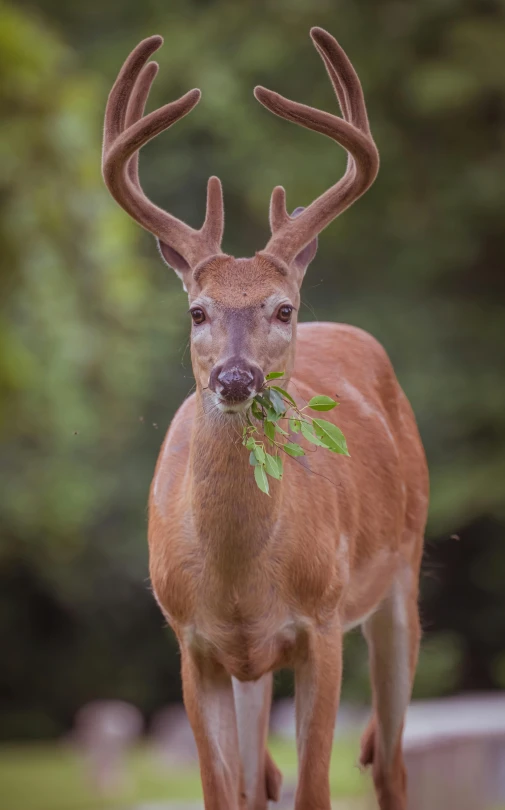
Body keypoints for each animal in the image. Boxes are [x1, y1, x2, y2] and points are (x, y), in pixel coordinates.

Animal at [103, 25, 430, 808]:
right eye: (197, 310)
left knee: (391, 762)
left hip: (401, 574)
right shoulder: (193, 643)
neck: (240, 582)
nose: (235, 377)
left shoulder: (321, 624)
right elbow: (225, 792)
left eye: (283, 309)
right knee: (259, 780)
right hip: (254, 672)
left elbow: (314, 788)